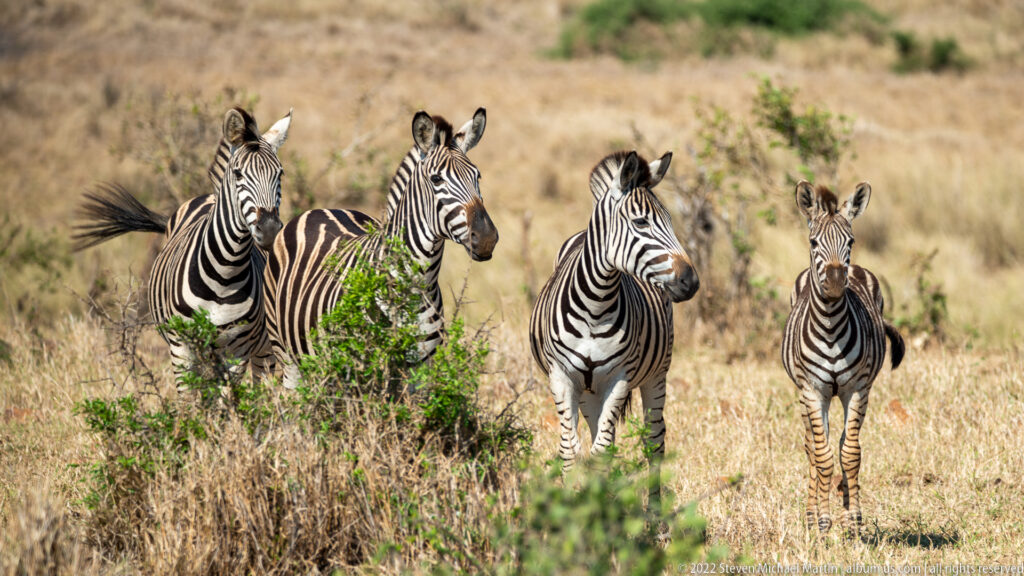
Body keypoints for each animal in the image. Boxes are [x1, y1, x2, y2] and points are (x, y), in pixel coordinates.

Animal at [73, 106, 292, 379]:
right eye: (238, 174)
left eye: (280, 173)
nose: (270, 229)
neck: (225, 274)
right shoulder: (181, 349)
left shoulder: (237, 350)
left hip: (262, 347)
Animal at [264, 108, 497, 389]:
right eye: (437, 179)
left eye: (478, 177)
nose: (486, 238)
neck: (417, 284)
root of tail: (318, 209)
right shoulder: (362, 366)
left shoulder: (421, 370)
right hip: (287, 355)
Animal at [528, 150, 699, 505]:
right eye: (641, 223)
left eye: (671, 221)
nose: (691, 282)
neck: (596, 304)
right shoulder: (561, 377)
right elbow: (572, 453)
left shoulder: (620, 378)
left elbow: (601, 453)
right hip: (587, 391)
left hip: (656, 375)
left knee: (654, 441)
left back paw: (654, 513)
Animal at [781, 180, 905, 536]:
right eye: (813, 242)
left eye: (850, 241)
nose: (837, 283)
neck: (831, 327)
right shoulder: (813, 390)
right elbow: (821, 456)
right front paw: (822, 522)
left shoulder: (857, 389)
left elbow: (849, 454)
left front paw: (853, 521)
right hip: (805, 393)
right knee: (812, 446)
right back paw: (812, 515)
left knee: (838, 444)